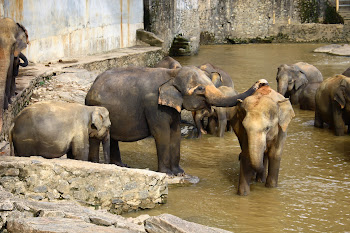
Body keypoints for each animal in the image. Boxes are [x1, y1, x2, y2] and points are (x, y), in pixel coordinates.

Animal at [85, 65, 268, 175]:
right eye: (200, 89)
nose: (262, 82)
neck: (171, 74)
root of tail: (91, 87)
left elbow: (174, 132)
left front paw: (180, 172)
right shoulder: (153, 105)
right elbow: (162, 133)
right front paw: (167, 173)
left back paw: (121, 166)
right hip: (95, 108)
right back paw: (96, 164)